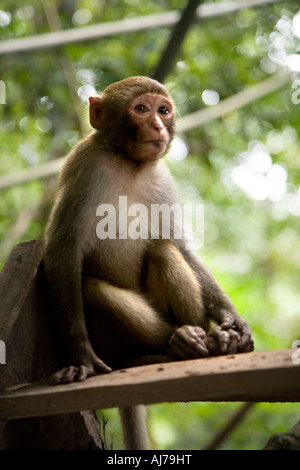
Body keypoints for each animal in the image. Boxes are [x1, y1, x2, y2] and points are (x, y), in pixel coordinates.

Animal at [41, 76, 253, 448]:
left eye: (163, 110)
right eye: (141, 109)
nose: (157, 125)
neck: (129, 163)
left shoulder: (162, 180)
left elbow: (181, 246)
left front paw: (233, 320)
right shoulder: (84, 166)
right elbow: (62, 250)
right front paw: (79, 355)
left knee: (162, 249)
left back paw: (205, 338)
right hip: (114, 344)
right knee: (91, 287)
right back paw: (173, 344)